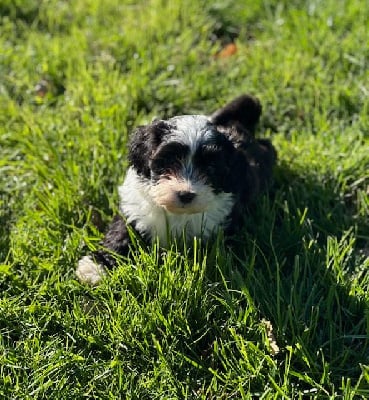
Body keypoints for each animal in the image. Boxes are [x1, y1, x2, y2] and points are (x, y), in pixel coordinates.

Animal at [76, 95, 274, 286]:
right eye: (169, 161)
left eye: (210, 167)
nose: (186, 194)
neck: (175, 213)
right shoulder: (135, 209)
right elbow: (121, 233)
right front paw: (95, 267)